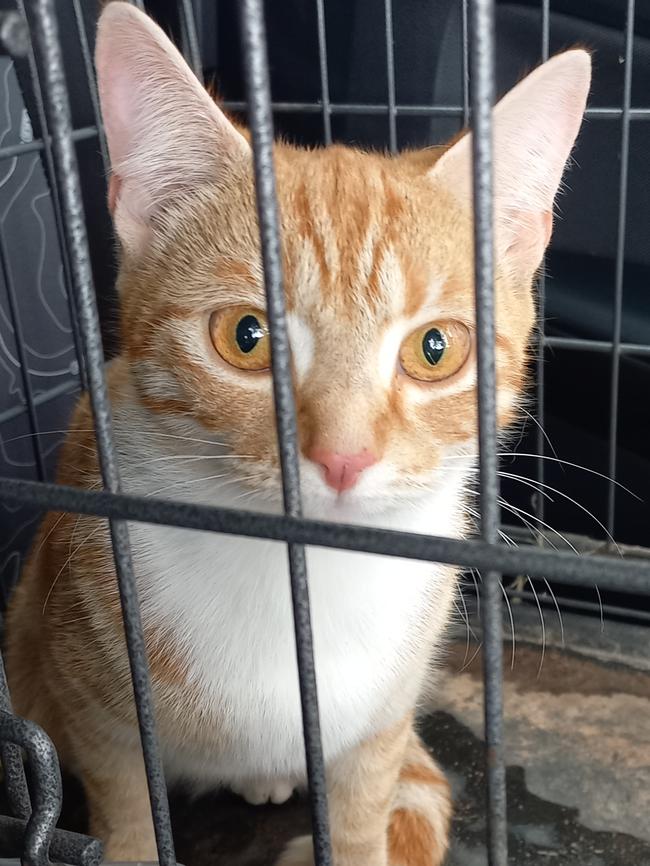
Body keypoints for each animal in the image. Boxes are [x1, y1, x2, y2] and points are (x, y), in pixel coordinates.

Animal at [2, 3, 588, 860]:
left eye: (435, 349)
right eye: (246, 338)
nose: (344, 456)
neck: (305, 582)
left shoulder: (382, 724)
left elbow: (362, 823)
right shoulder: (95, 705)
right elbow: (130, 813)